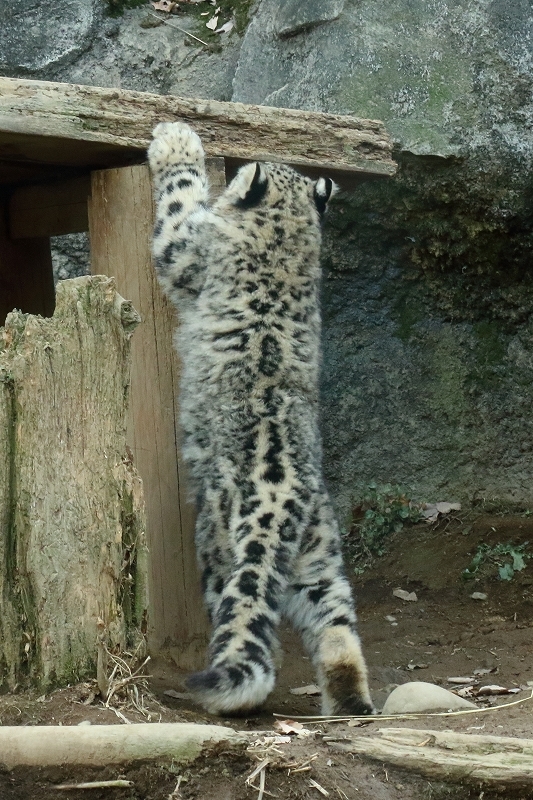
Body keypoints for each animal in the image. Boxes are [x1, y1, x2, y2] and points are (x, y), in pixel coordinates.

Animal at [145, 122, 370, 716]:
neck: (288, 240)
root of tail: (285, 495)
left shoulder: (187, 249)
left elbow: (178, 204)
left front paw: (176, 138)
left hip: (218, 544)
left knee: (242, 615)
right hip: (321, 557)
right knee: (336, 628)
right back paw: (350, 703)